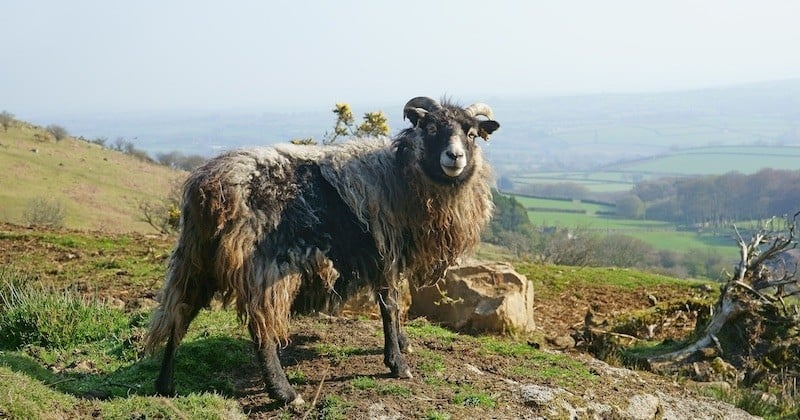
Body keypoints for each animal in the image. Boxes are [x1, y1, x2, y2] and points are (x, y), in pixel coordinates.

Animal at [144, 95, 500, 404]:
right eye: (431, 129)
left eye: (471, 134)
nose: (455, 157)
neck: (400, 174)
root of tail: (210, 189)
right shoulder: (384, 253)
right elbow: (390, 307)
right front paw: (397, 363)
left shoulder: (391, 257)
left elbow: (395, 307)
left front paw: (403, 344)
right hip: (264, 267)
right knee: (261, 331)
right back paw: (284, 393)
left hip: (193, 258)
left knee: (179, 315)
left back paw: (165, 385)